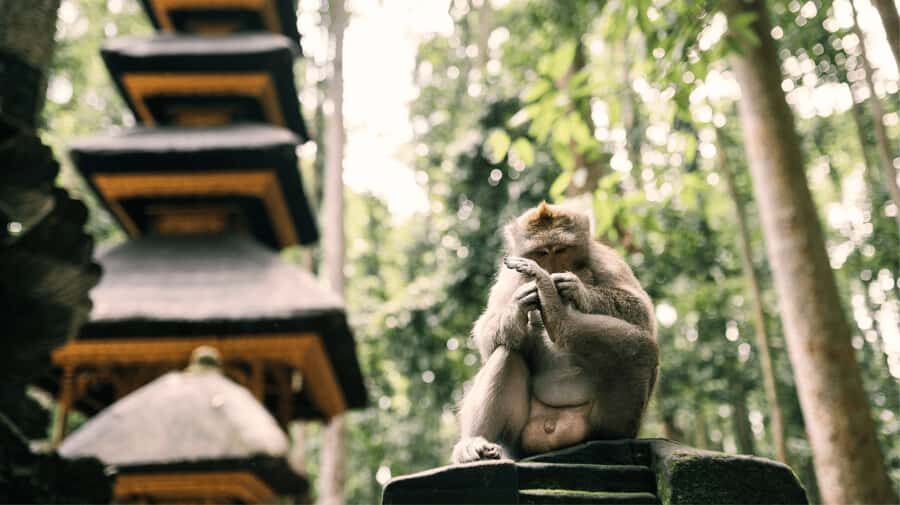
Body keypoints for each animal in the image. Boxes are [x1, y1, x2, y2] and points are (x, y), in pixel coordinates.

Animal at [451, 202, 658, 463]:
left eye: (561, 250)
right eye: (542, 252)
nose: (550, 269)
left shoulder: (604, 259)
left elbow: (640, 311)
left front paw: (575, 288)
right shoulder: (510, 275)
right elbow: (486, 335)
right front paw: (518, 305)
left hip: (600, 424)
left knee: (640, 349)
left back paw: (557, 315)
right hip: (518, 440)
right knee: (507, 352)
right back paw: (475, 443)